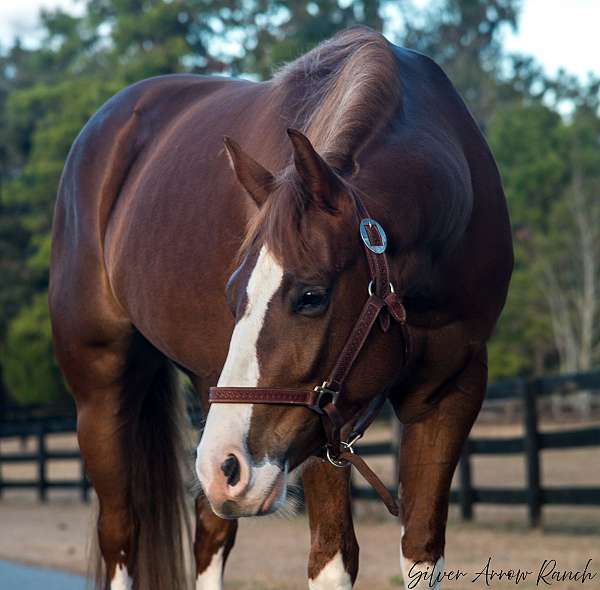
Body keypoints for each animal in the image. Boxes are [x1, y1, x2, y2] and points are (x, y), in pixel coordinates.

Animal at [49, 26, 512, 590]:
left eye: (311, 295)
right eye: (234, 294)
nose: (228, 468)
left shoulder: (449, 393)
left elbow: (422, 553)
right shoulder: (324, 426)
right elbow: (332, 560)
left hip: (213, 397)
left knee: (210, 531)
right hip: (106, 396)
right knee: (121, 534)